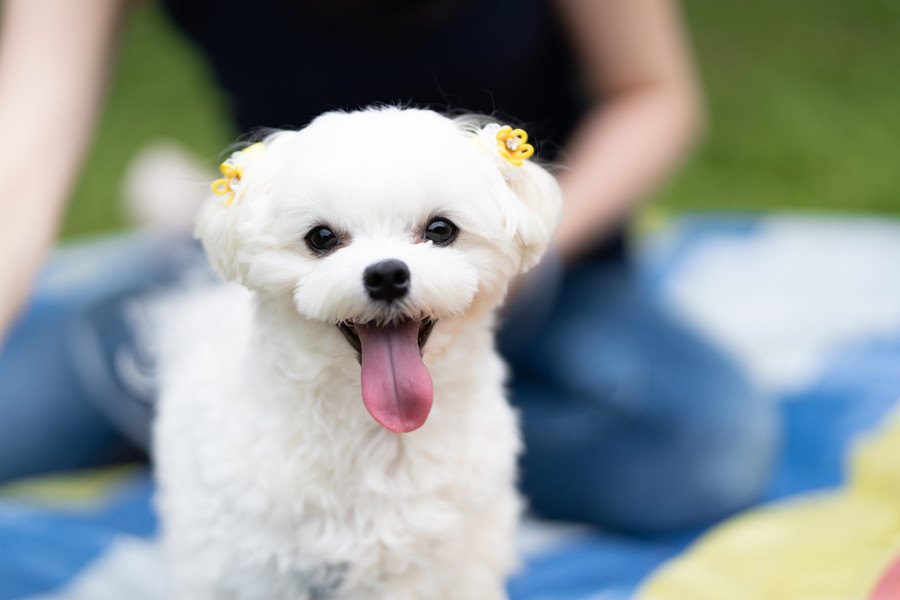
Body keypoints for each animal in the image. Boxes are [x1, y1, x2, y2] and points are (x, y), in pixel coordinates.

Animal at [156, 109, 564, 600]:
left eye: (440, 230)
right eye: (321, 237)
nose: (386, 274)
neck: (376, 435)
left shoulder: (452, 562)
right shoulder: (263, 565)